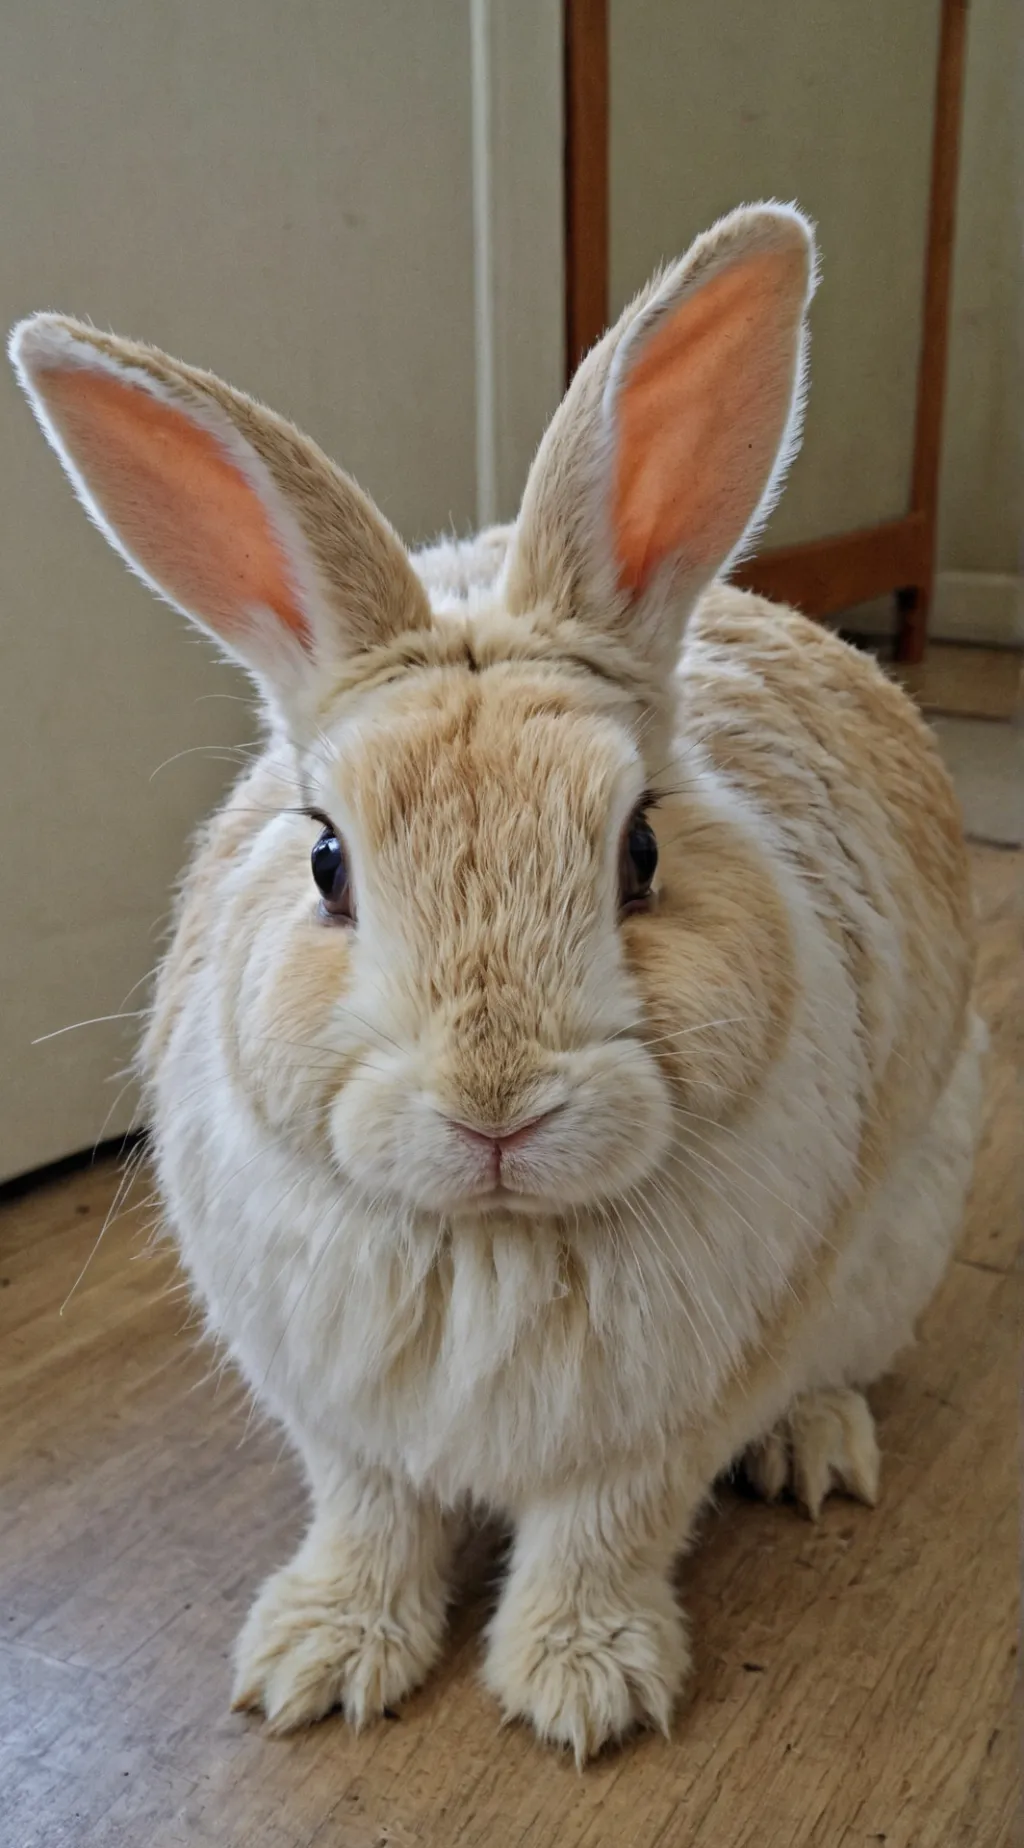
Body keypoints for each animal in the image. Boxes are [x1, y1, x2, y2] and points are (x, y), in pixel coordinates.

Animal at [9, 202, 984, 1765]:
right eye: (327, 860)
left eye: (640, 849)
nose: (496, 1106)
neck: (489, 1241)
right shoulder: (342, 1424)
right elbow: (369, 1519)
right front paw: (314, 1663)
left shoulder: (659, 1424)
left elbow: (603, 1534)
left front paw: (582, 1691)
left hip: (894, 1253)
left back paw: (816, 1451)